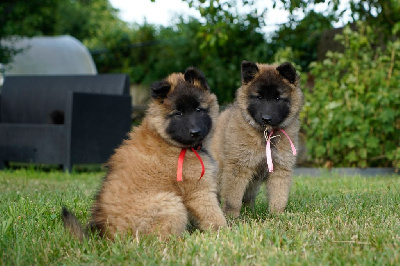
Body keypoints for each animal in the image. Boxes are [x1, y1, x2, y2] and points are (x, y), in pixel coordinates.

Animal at [61, 67, 227, 240]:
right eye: (178, 113)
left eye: (199, 109)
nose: (195, 132)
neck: (167, 139)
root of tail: (105, 236)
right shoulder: (199, 191)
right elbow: (213, 215)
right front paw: (225, 232)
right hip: (170, 203)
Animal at [212, 61, 304, 217]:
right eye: (259, 97)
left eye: (278, 98)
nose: (266, 118)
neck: (266, 134)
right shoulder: (238, 167)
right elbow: (233, 198)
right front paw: (231, 216)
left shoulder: (280, 168)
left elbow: (279, 197)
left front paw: (277, 215)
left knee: (248, 197)